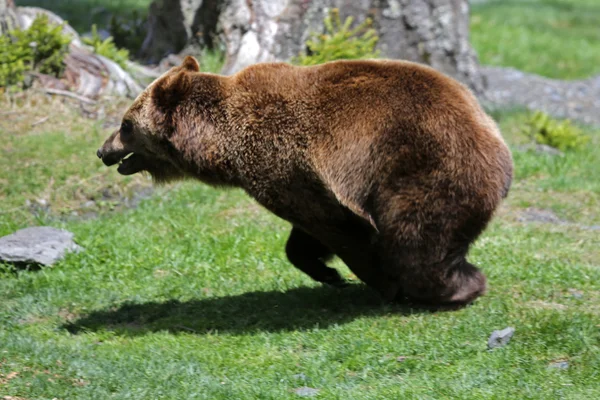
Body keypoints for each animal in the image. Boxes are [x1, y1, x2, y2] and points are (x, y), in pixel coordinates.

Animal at [97, 55, 510, 306]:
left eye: (125, 124)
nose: (103, 151)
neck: (221, 144)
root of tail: (495, 141)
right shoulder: (300, 184)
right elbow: (306, 235)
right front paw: (327, 272)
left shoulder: (290, 167)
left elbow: (342, 232)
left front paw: (377, 281)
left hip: (426, 169)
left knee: (415, 240)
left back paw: (455, 287)